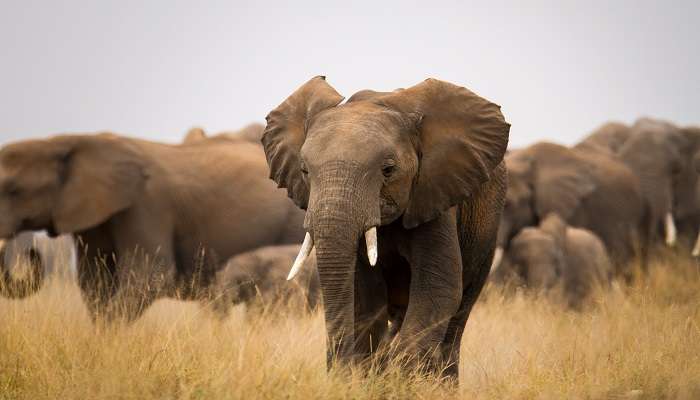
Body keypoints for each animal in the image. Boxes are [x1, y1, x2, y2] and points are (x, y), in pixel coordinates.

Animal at [0, 134, 306, 322]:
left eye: (13, 190)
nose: (31, 253)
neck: (70, 141)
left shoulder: (148, 206)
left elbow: (150, 276)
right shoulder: (94, 216)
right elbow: (94, 281)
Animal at [262, 76, 508, 378]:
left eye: (388, 170)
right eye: (305, 171)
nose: (336, 369)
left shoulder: (435, 195)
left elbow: (439, 288)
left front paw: (398, 377)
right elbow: (365, 296)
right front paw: (375, 375)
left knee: (457, 318)